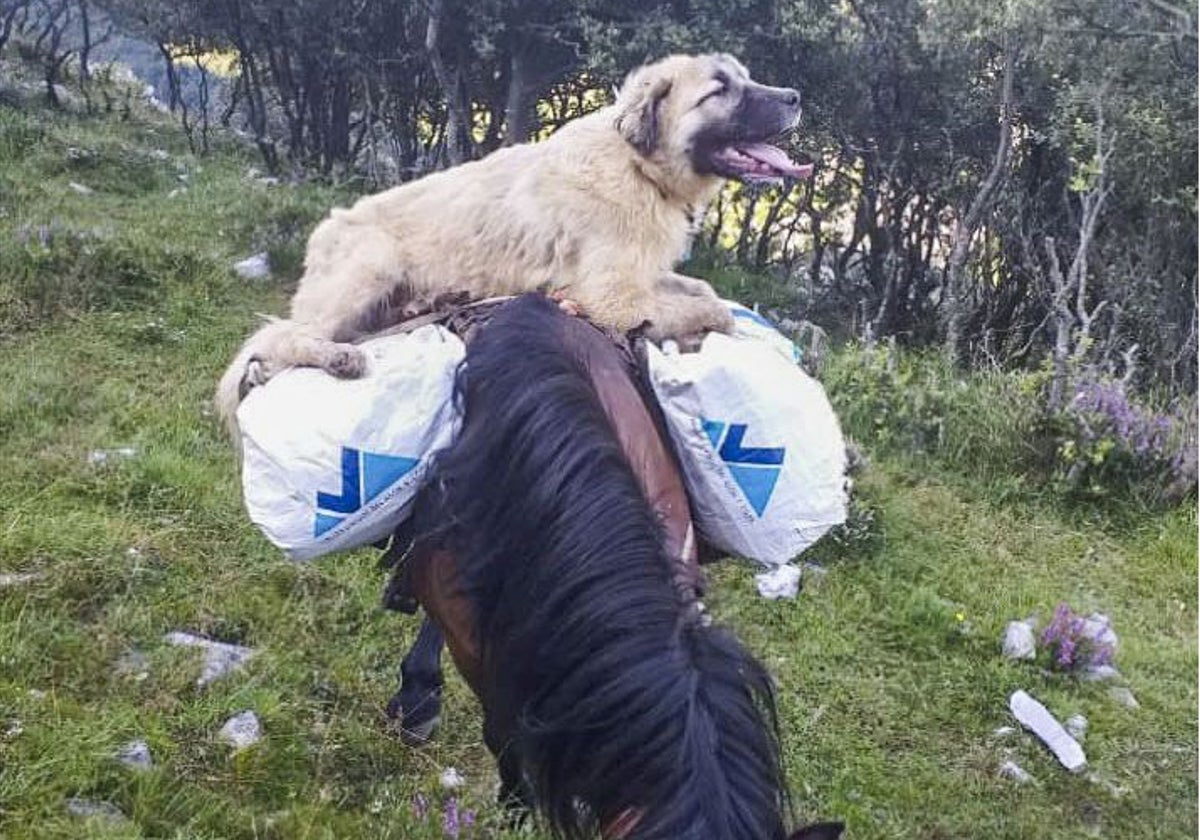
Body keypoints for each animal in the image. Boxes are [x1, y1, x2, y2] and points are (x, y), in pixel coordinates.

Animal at [217, 53, 816, 436]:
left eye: (745, 78)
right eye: (720, 90)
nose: (795, 96)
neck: (639, 167)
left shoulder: (644, 272)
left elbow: (701, 289)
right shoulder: (613, 299)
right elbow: (716, 311)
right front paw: (700, 329)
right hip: (370, 263)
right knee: (278, 338)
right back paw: (334, 357)